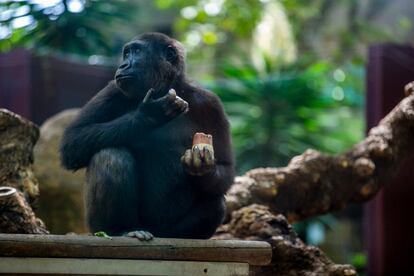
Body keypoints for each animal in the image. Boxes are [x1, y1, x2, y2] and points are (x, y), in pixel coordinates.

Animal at [59, 31, 234, 239]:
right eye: (126, 53)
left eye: (136, 51)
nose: (123, 65)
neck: (166, 87)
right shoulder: (113, 89)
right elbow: (73, 140)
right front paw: (150, 114)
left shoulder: (211, 104)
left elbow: (226, 168)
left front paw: (202, 166)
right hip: (97, 227)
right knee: (111, 155)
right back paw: (121, 230)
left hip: (165, 230)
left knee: (216, 203)